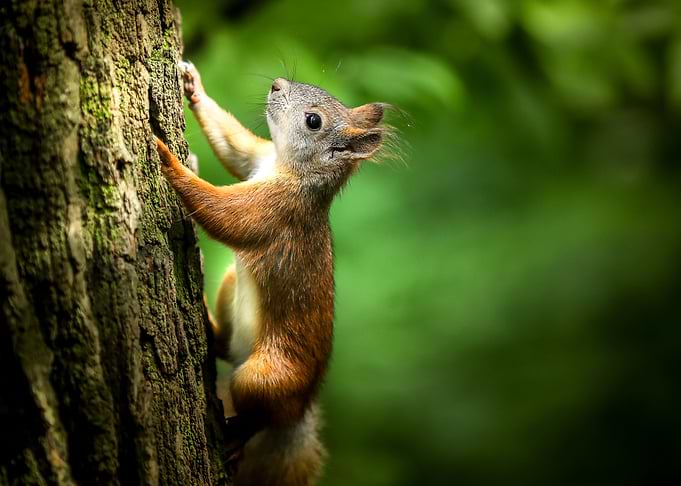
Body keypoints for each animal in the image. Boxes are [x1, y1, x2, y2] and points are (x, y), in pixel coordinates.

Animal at [154, 61, 388, 486]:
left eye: (314, 121)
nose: (277, 84)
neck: (286, 167)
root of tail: (300, 409)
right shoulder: (257, 159)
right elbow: (236, 148)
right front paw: (193, 87)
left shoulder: (276, 210)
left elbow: (223, 214)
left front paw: (168, 161)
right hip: (231, 289)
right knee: (226, 346)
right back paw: (210, 329)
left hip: (265, 378)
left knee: (260, 416)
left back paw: (237, 437)